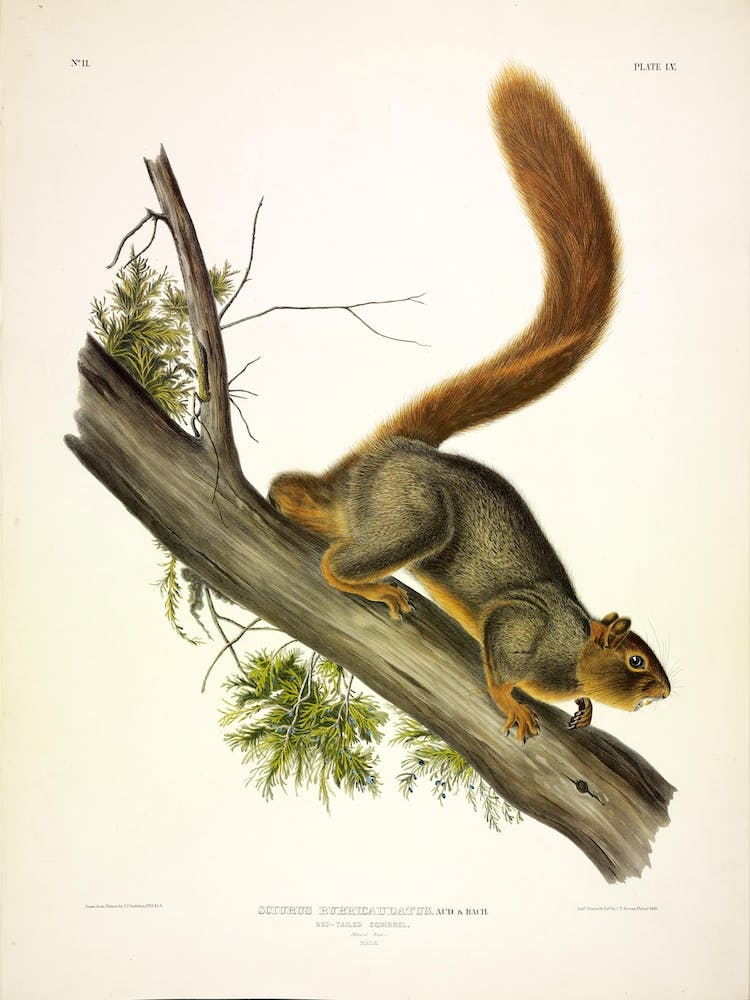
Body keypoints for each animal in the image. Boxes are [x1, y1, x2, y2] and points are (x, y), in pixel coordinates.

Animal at [268, 66, 671, 741]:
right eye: (637, 660)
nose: (667, 690)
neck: (572, 644)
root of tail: (390, 452)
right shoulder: (518, 625)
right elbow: (501, 659)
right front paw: (512, 700)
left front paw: (585, 707)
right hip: (413, 516)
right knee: (333, 557)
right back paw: (370, 586)